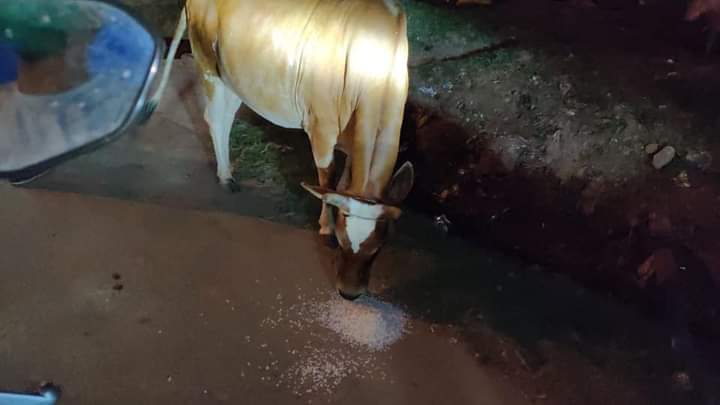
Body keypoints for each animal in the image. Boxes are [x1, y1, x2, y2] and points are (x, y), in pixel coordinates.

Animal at [150, 0, 414, 300]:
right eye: (343, 241)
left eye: (378, 248)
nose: (349, 293)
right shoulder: (320, 126)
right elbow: (327, 178)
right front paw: (325, 228)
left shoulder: (353, 143)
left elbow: (342, 185)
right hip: (208, 64)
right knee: (216, 118)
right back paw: (225, 177)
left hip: (235, 78)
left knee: (225, 116)